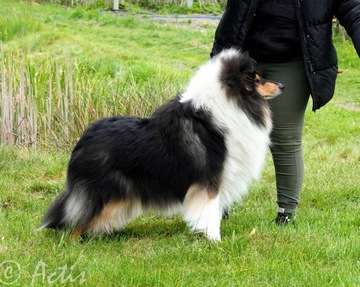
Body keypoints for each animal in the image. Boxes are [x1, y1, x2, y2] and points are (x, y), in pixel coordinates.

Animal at [40, 50, 284, 243]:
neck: (232, 105)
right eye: (256, 78)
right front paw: (215, 241)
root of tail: (83, 138)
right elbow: (210, 213)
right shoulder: (209, 180)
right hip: (102, 191)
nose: (282, 85)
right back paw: (74, 244)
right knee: (78, 219)